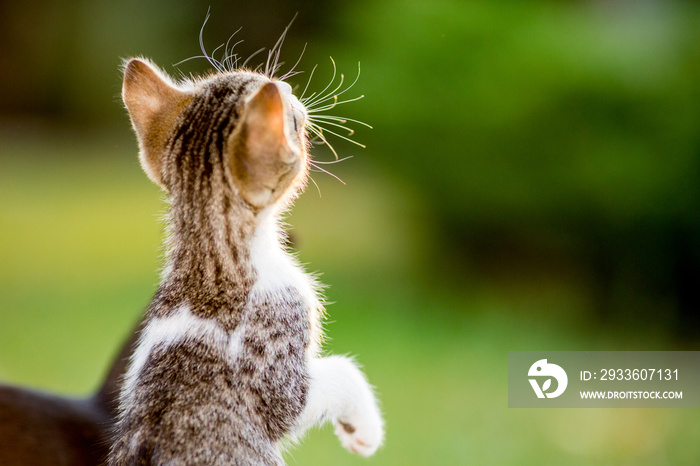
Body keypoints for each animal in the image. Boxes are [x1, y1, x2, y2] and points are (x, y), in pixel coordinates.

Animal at [108, 59, 382, 466]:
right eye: (291, 119)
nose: (286, 86)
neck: (209, 267)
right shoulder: (281, 380)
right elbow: (341, 374)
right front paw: (365, 426)